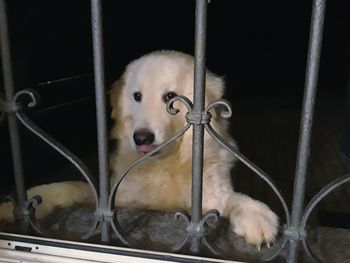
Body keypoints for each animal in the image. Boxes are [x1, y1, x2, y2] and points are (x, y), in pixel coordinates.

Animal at [0, 50, 278, 249]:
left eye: (170, 98)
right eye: (136, 96)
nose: (142, 137)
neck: (165, 164)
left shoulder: (210, 195)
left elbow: (234, 199)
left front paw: (258, 217)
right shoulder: (114, 197)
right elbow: (68, 187)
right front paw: (19, 203)